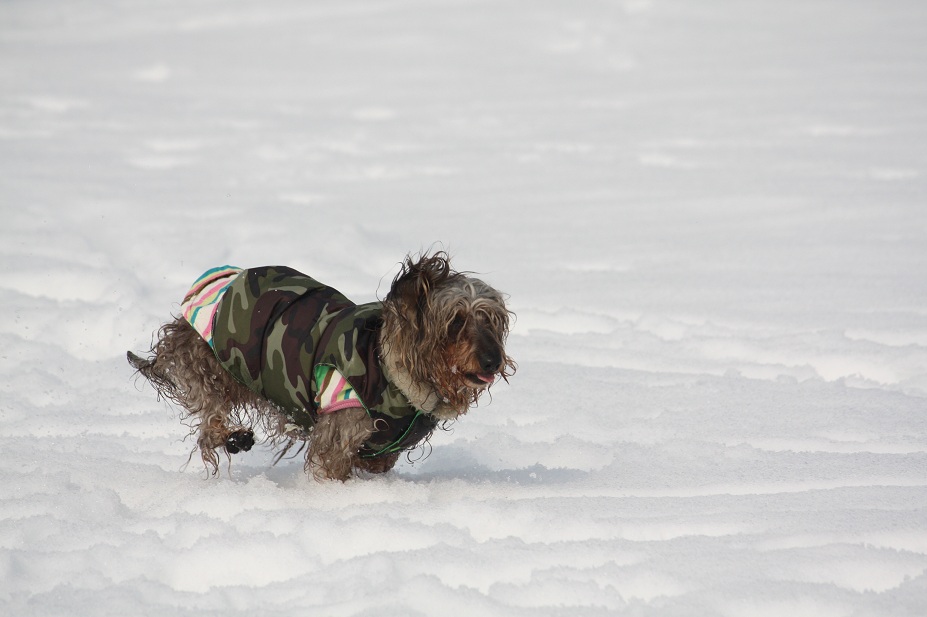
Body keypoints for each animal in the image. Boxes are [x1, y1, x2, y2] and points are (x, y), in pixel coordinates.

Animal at [126, 251, 516, 482]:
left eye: (492, 320)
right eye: (456, 321)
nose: (493, 361)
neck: (391, 372)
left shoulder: (380, 453)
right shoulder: (338, 436)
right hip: (211, 367)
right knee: (209, 425)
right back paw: (233, 436)